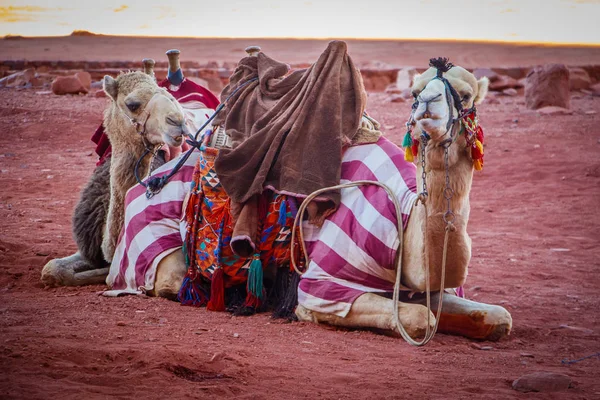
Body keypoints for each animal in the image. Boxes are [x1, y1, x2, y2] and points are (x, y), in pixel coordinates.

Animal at [292, 61, 512, 342]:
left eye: (466, 95)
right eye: (415, 92)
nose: (429, 101)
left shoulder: (427, 288)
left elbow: (499, 317)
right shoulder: (323, 284)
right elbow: (419, 317)